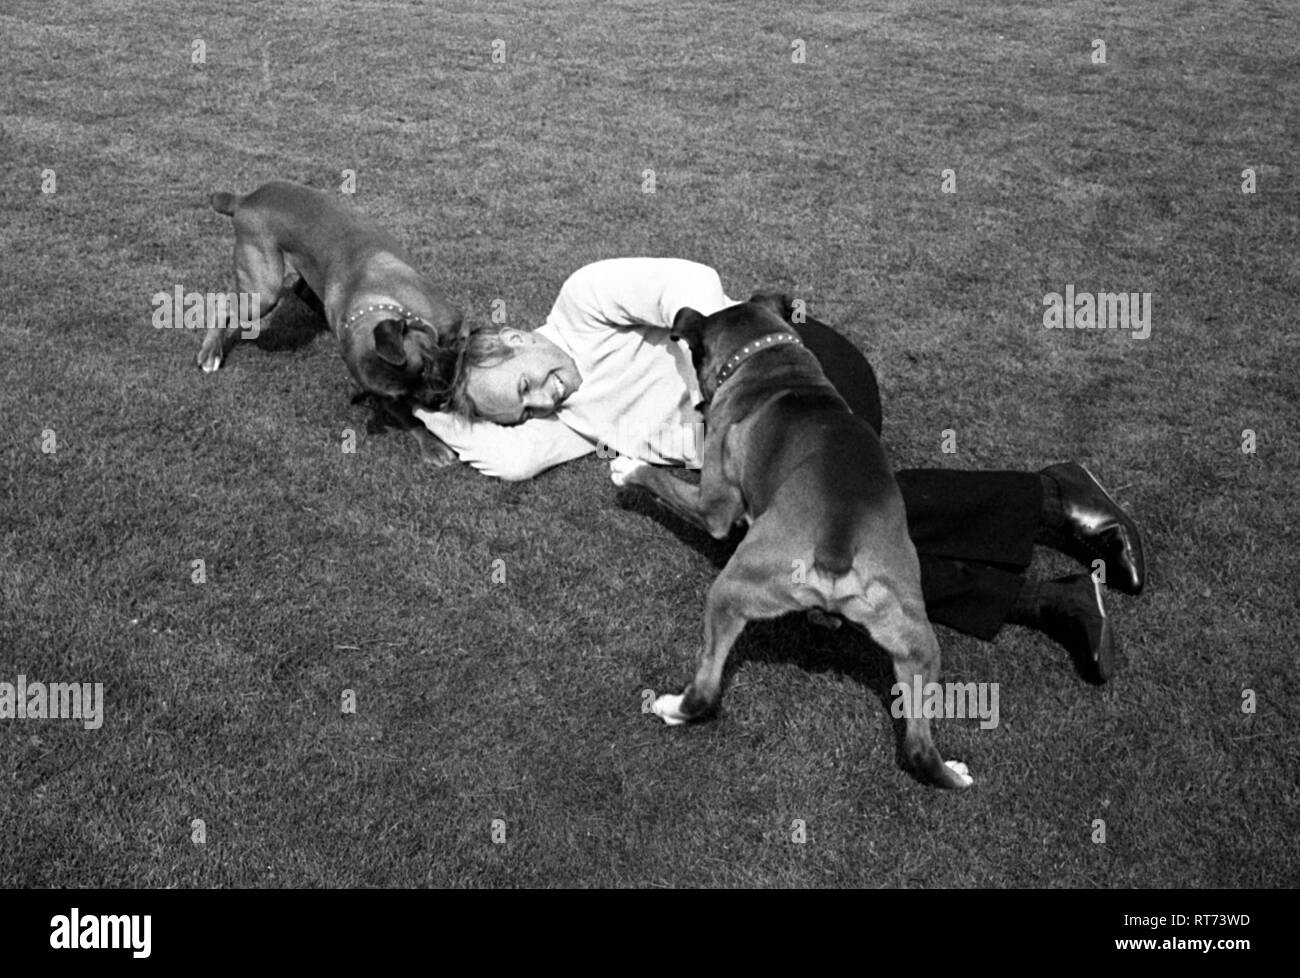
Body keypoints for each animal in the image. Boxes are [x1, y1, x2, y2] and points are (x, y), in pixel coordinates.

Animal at [200, 179, 465, 462]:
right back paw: (210, 353)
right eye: (401, 398)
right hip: (263, 292)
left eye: (424, 367)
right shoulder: (381, 393)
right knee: (224, 303)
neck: (373, 299)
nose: (439, 403)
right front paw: (431, 445)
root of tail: (244, 199)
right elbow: (408, 419)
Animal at [613, 293, 972, 790]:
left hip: (731, 588)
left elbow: (665, 483)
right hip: (915, 637)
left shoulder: (714, 507)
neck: (770, 362)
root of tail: (837, 541)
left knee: (706, 689)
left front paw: (628, 468)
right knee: (919, 746)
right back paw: (953, 772)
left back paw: (673, 708)